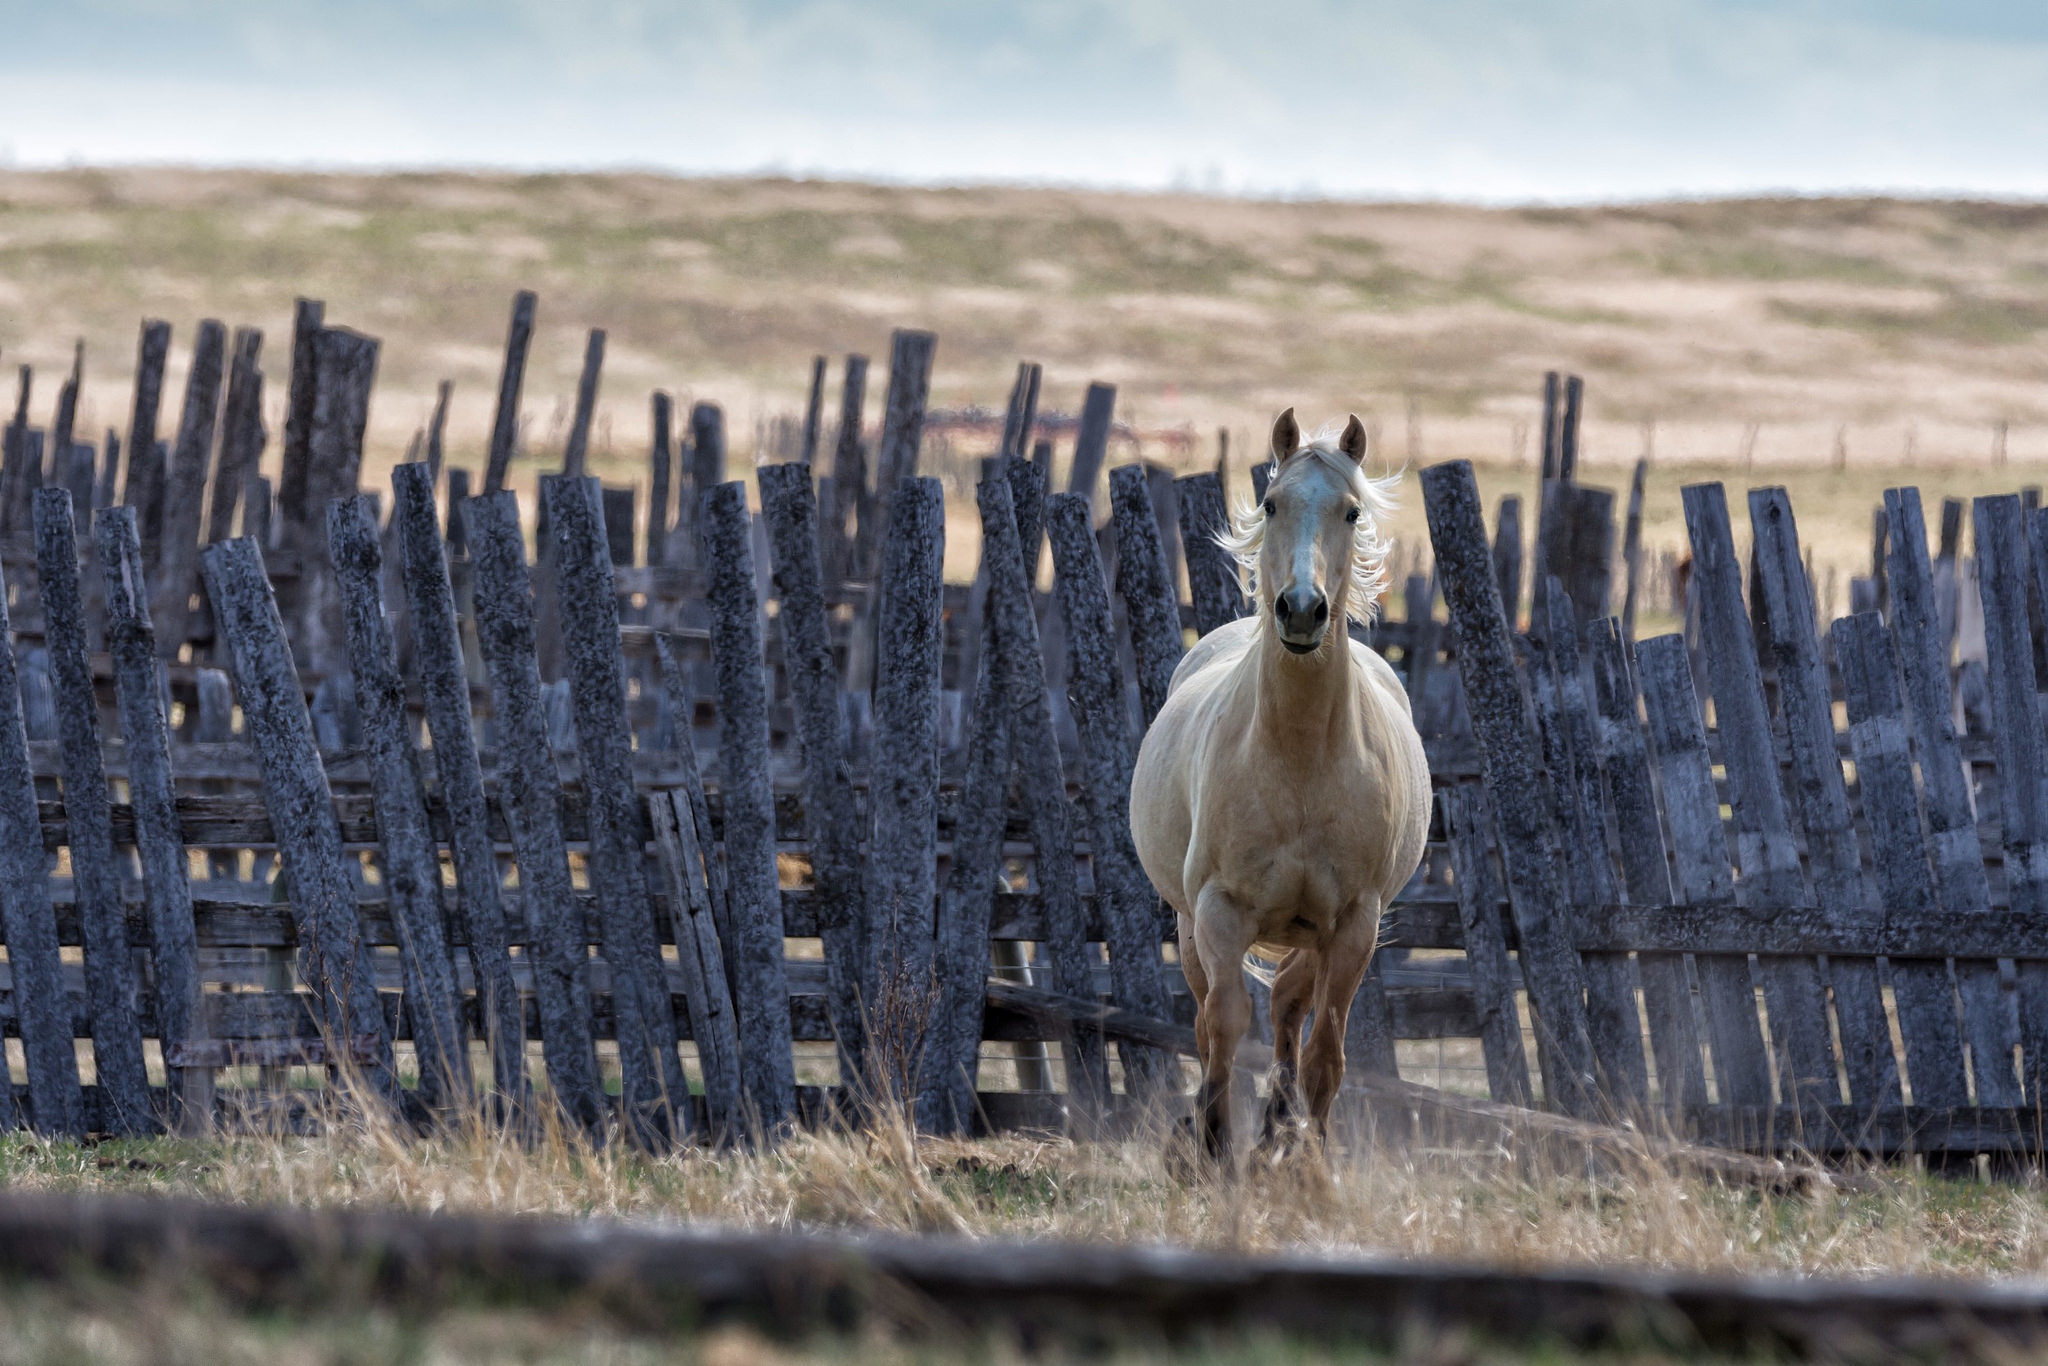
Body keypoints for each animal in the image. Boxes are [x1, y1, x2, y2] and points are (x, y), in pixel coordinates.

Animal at [1130, 409, 1433, 1163]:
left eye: (1351, 511)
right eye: (1271, 504)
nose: (1301, 609)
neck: (1297, 760)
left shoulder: (1353, 924)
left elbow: (1325, 1048)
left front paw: (1309, 1158)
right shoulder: (1218, 911)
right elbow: (1222, 1026)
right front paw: (1211, 1148)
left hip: (1309, 932)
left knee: (1290, 1007)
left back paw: (1277, 1132)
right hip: (1191, 925)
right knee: (1215, 1017)